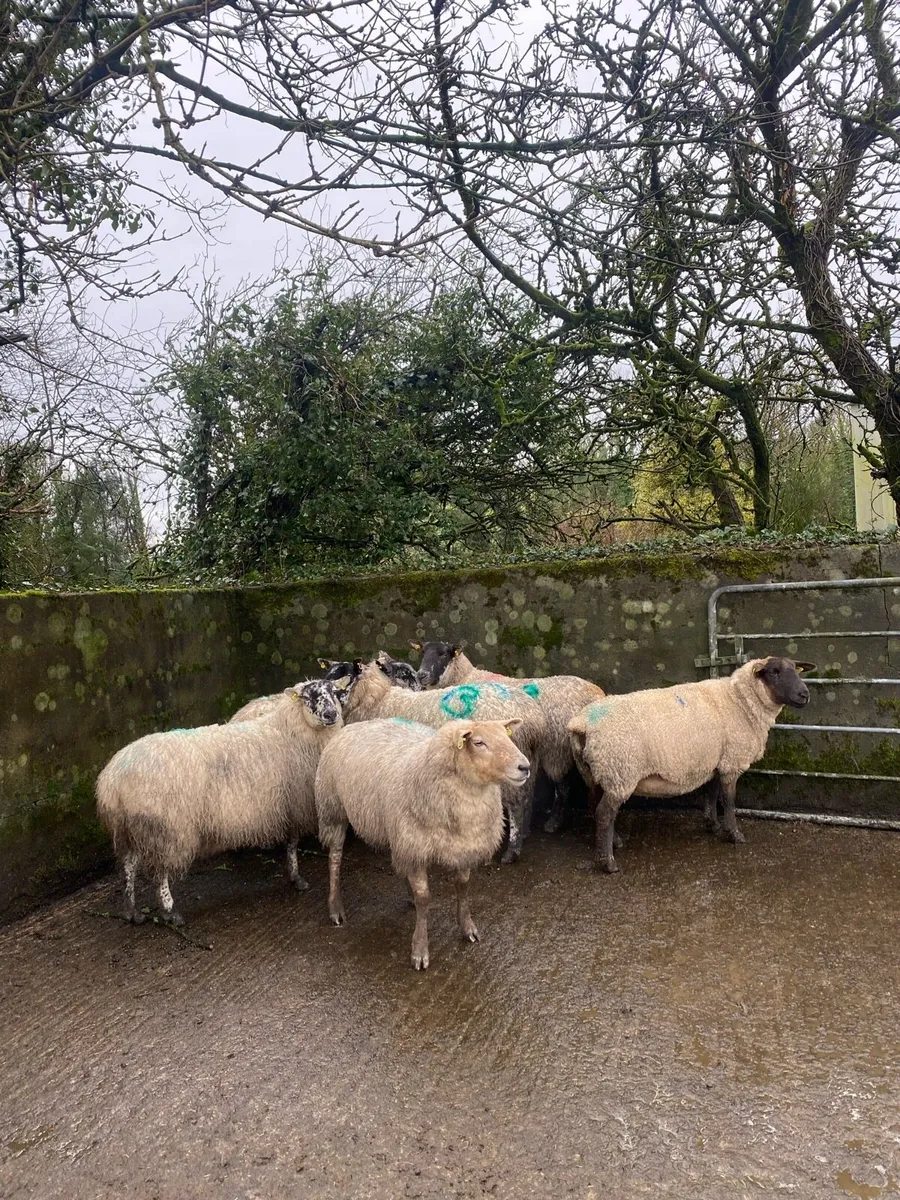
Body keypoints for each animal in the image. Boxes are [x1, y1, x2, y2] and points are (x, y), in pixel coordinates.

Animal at [96, 679, 345, 926]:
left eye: (334, 692)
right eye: (308, 697)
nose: (331, 714)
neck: (289, 729)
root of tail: (111, 780)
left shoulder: (288, 804)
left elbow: (291, 842)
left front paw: (294, 876)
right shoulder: (294, 802)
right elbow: (292, 842)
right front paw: (296, 877)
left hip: (132, 827)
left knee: (129, 865)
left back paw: (131, 911)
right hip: (166, 829)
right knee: (160, 872)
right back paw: (170, 911)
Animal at [316, 716, 530, 969]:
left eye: (507, 736)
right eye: (479, 743)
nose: (525, 767)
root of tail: (355, 724)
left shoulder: (463, 846)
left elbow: (463, 887)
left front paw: (467, 927)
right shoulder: (416, 848)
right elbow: (424, 899)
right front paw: (420, 949)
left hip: (395, 831)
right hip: (333, 809)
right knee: (335, 857)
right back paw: (335, 907)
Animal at [411, 640, 605, 834]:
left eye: (443, 654)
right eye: (423, 652)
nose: (421, 675)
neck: (465, 678)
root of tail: (597, 693)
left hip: (556, 750)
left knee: (563, 787)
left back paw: (554, 822)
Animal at [567, 656, 814, 873]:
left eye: (796, 669)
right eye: (774, 671)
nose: (804, 694)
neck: (740, 701)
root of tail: (581, 724)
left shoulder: (718, 761)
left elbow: (712, 794)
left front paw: (712, 825)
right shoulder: (731, 763)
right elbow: (729, 801)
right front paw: (734, 834)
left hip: (596, 773)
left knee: (595, 806)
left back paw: (614, 842)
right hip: (619, 772)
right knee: (604, 814)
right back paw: (608, 863)